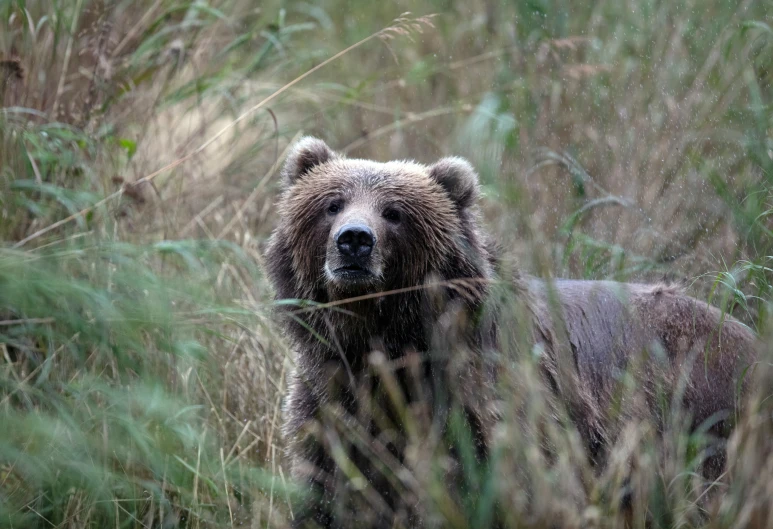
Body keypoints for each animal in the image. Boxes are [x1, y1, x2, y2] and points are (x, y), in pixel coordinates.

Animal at [264, 137, 752, 528]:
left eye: (394, 212)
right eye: (332, 203)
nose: (354, 240)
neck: (385, 338)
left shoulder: (487, 397)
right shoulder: (333, 397)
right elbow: (335, 482)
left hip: (701, 410)